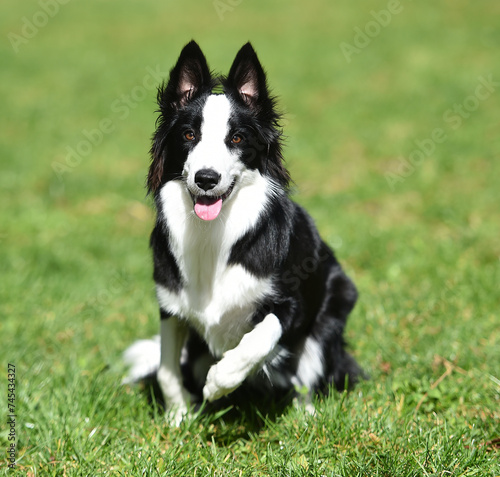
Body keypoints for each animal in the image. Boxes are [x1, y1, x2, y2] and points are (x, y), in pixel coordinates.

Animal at [123, 39, 362, 422]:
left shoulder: (290, 303)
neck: (212, 234)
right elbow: (166, 369)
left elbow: (260, 338)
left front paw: (220, 381)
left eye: (236, 138)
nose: (206, 178)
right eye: (189, 135)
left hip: (335, 304)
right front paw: (178, 418)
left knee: (305, 379)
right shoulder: (170, 307)